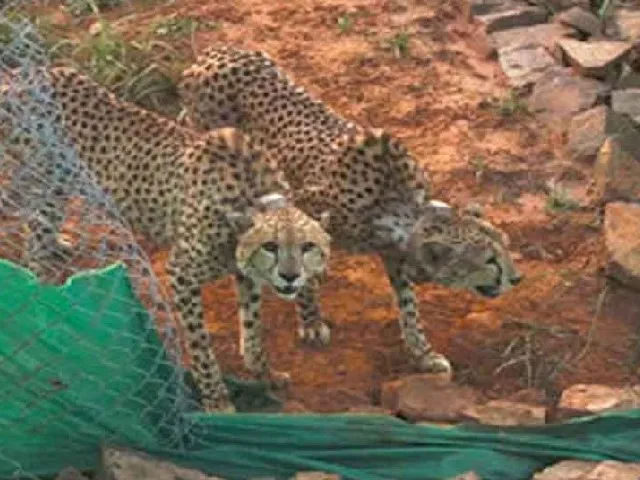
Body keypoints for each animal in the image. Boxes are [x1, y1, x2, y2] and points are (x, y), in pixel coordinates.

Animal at [0, 66, 332, 413]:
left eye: (308, 247)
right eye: (271, 246)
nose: (290, 276)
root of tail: (22, 75)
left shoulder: (245, 274)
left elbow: (253, 331)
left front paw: (264, 374)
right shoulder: (182, 273)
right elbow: (200, 345)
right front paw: (217, 400)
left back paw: (56, 253)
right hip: (49, 181)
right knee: (35, 233)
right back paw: (48, 296)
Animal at [177, 45, 523, 376]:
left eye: (506, 246)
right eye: (489, 260)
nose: (517, 278)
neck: (395, 205)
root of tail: (212, 53)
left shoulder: (395, 251)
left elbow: (409, 305)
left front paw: (423, 354)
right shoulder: (303, 207)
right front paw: (311, 320)